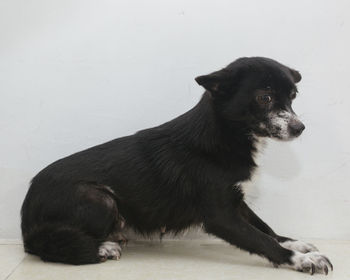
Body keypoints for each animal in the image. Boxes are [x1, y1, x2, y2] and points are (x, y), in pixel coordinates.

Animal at [21, 56, 334, 274]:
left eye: (293, 96)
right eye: (264, 97)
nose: (299, 128)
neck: (224, 134)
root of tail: (25, 215)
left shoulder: (237, 202)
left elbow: (266, 228)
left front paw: (294, 242)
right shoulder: (221, 216)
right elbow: (262, 240)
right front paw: (301, 259)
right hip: (100, 198)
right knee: (52, 246)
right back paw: (102, 248)